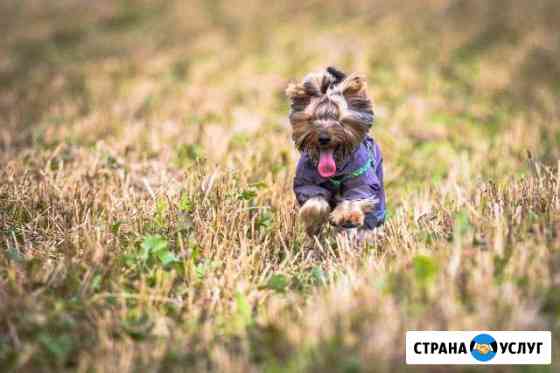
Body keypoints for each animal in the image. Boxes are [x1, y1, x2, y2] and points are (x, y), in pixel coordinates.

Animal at [284, 67, 384, 235]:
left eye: (340, 121)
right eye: (312, 119)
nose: (324, 138)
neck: (336, 169)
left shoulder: (360, 178)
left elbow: (356, 195)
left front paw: (348, 216)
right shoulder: (308, 181)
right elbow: (315, 199)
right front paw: (314, 220)